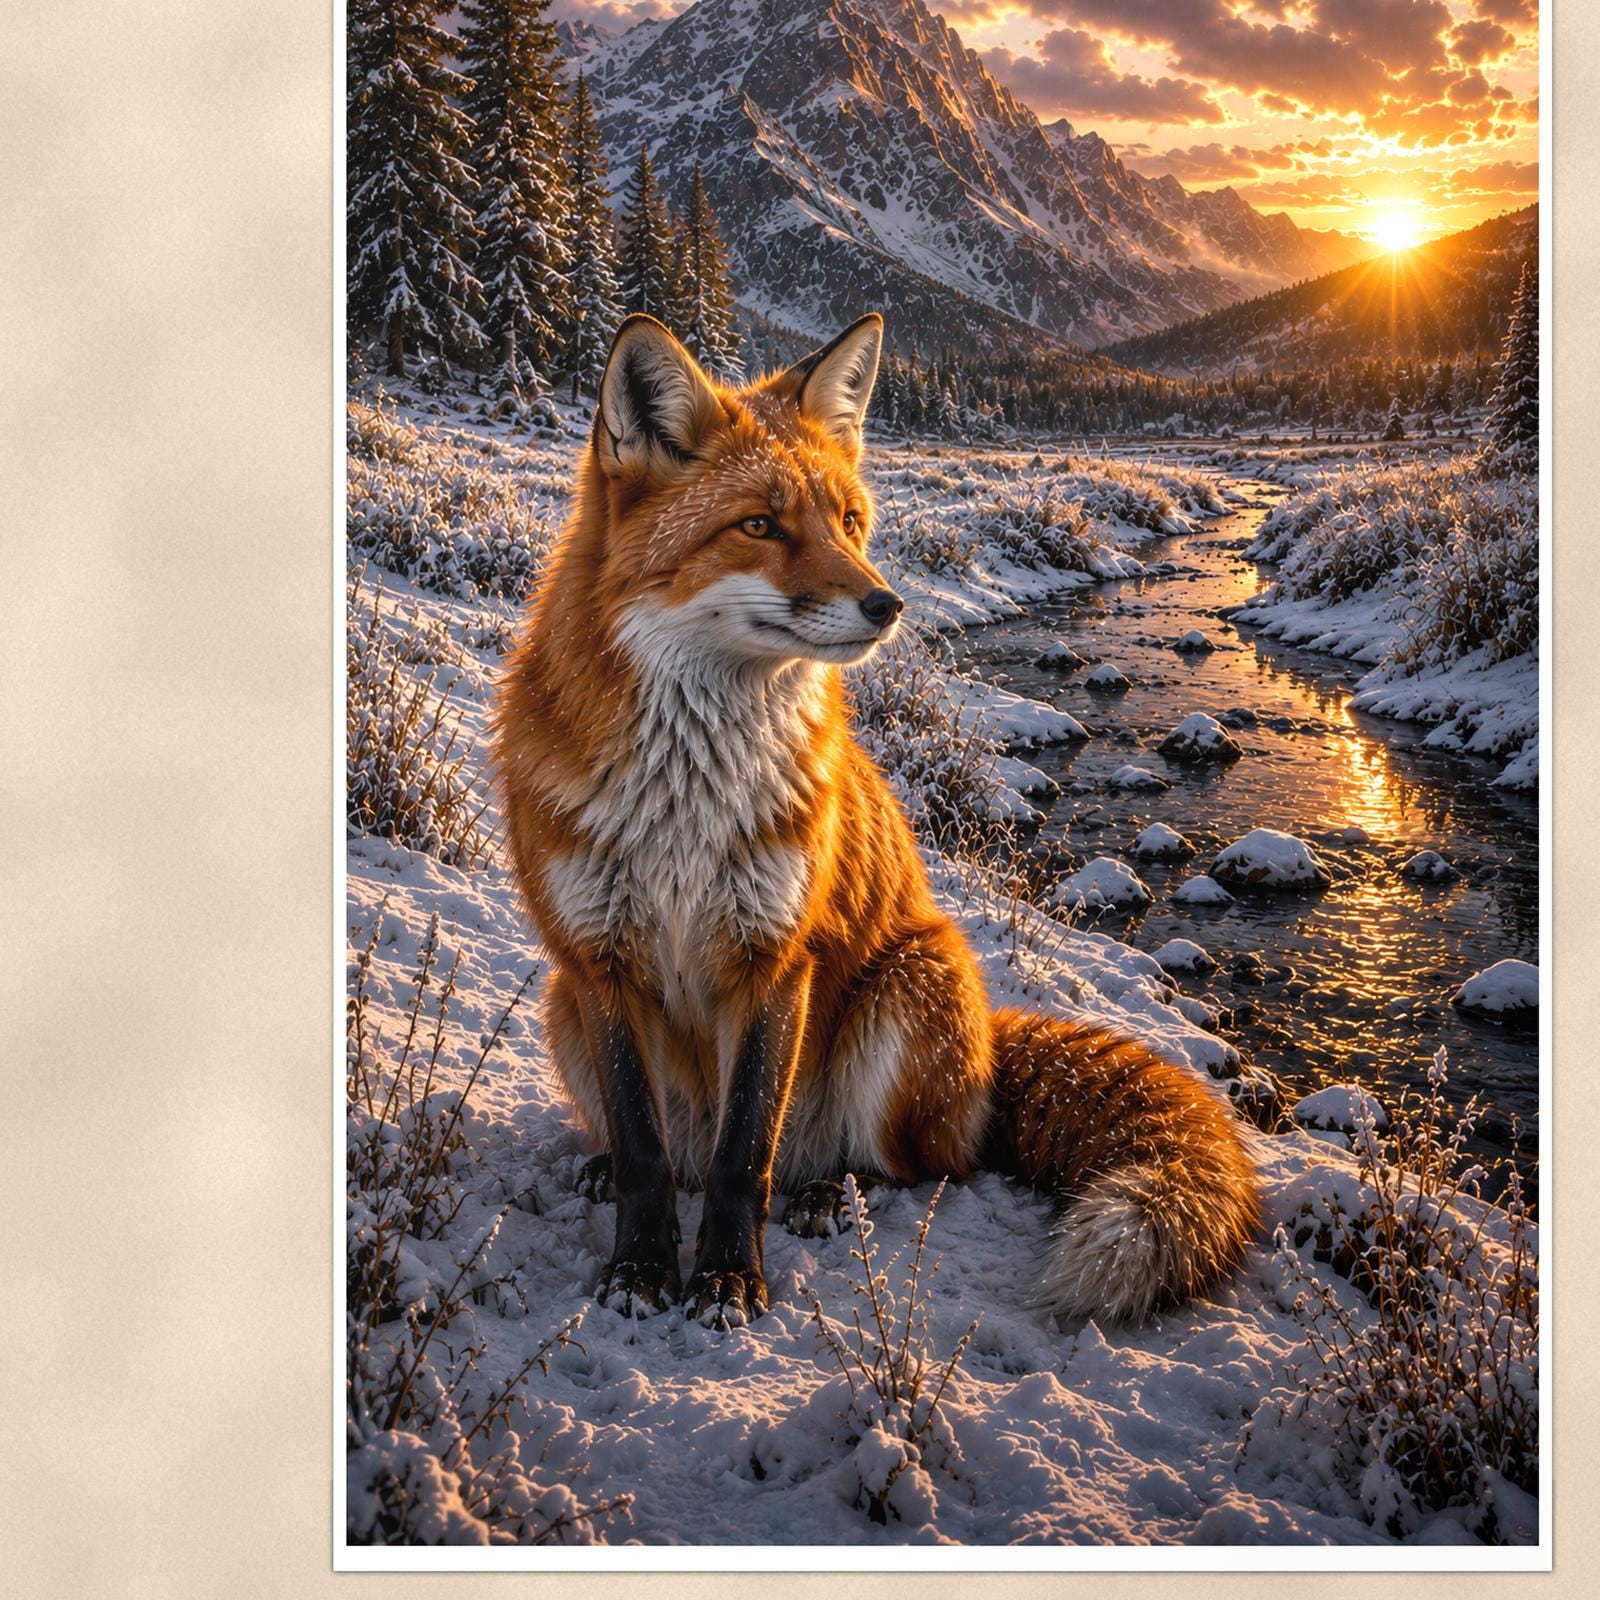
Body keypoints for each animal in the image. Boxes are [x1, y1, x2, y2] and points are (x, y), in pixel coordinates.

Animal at [493, 311, 1260, 1331]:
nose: (886, 603)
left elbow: (745, 1157)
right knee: (677, 1153)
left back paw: (833, 1191)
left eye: (850, 523)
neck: (685, 801)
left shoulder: (775, 954)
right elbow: (651, 1159)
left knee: (919, 1167)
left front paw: (728, 1281)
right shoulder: (600, 960)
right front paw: (642, 1269)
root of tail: (988, 1057)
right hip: (562, 1002)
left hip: (906, 993)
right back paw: (601, 1167)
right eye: (760, 525)